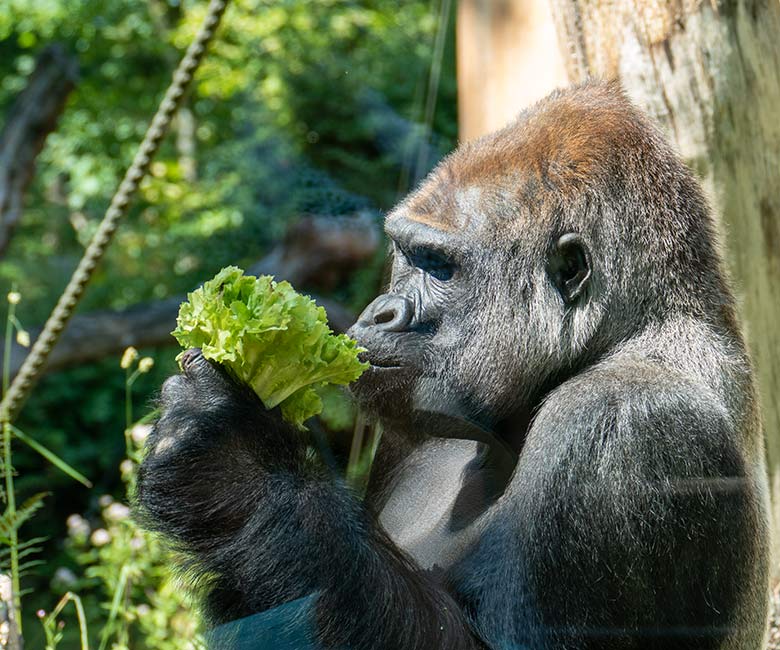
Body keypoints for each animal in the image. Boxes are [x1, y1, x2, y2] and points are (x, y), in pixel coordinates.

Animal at [137, 82, 772, 648]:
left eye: (439, 266)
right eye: (406, 254)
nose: (380, 312)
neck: (634, 329)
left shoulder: (623, 423)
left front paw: (235, 461)